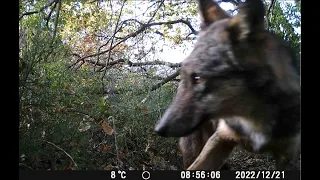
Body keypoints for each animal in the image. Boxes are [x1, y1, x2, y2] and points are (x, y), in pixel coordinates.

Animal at [155, 0, 300, 170]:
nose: (158, 129)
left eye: (198, 78)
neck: (253, 119)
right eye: (184, 75)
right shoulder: (220, 138)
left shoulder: (287, 156)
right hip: (192, 147)